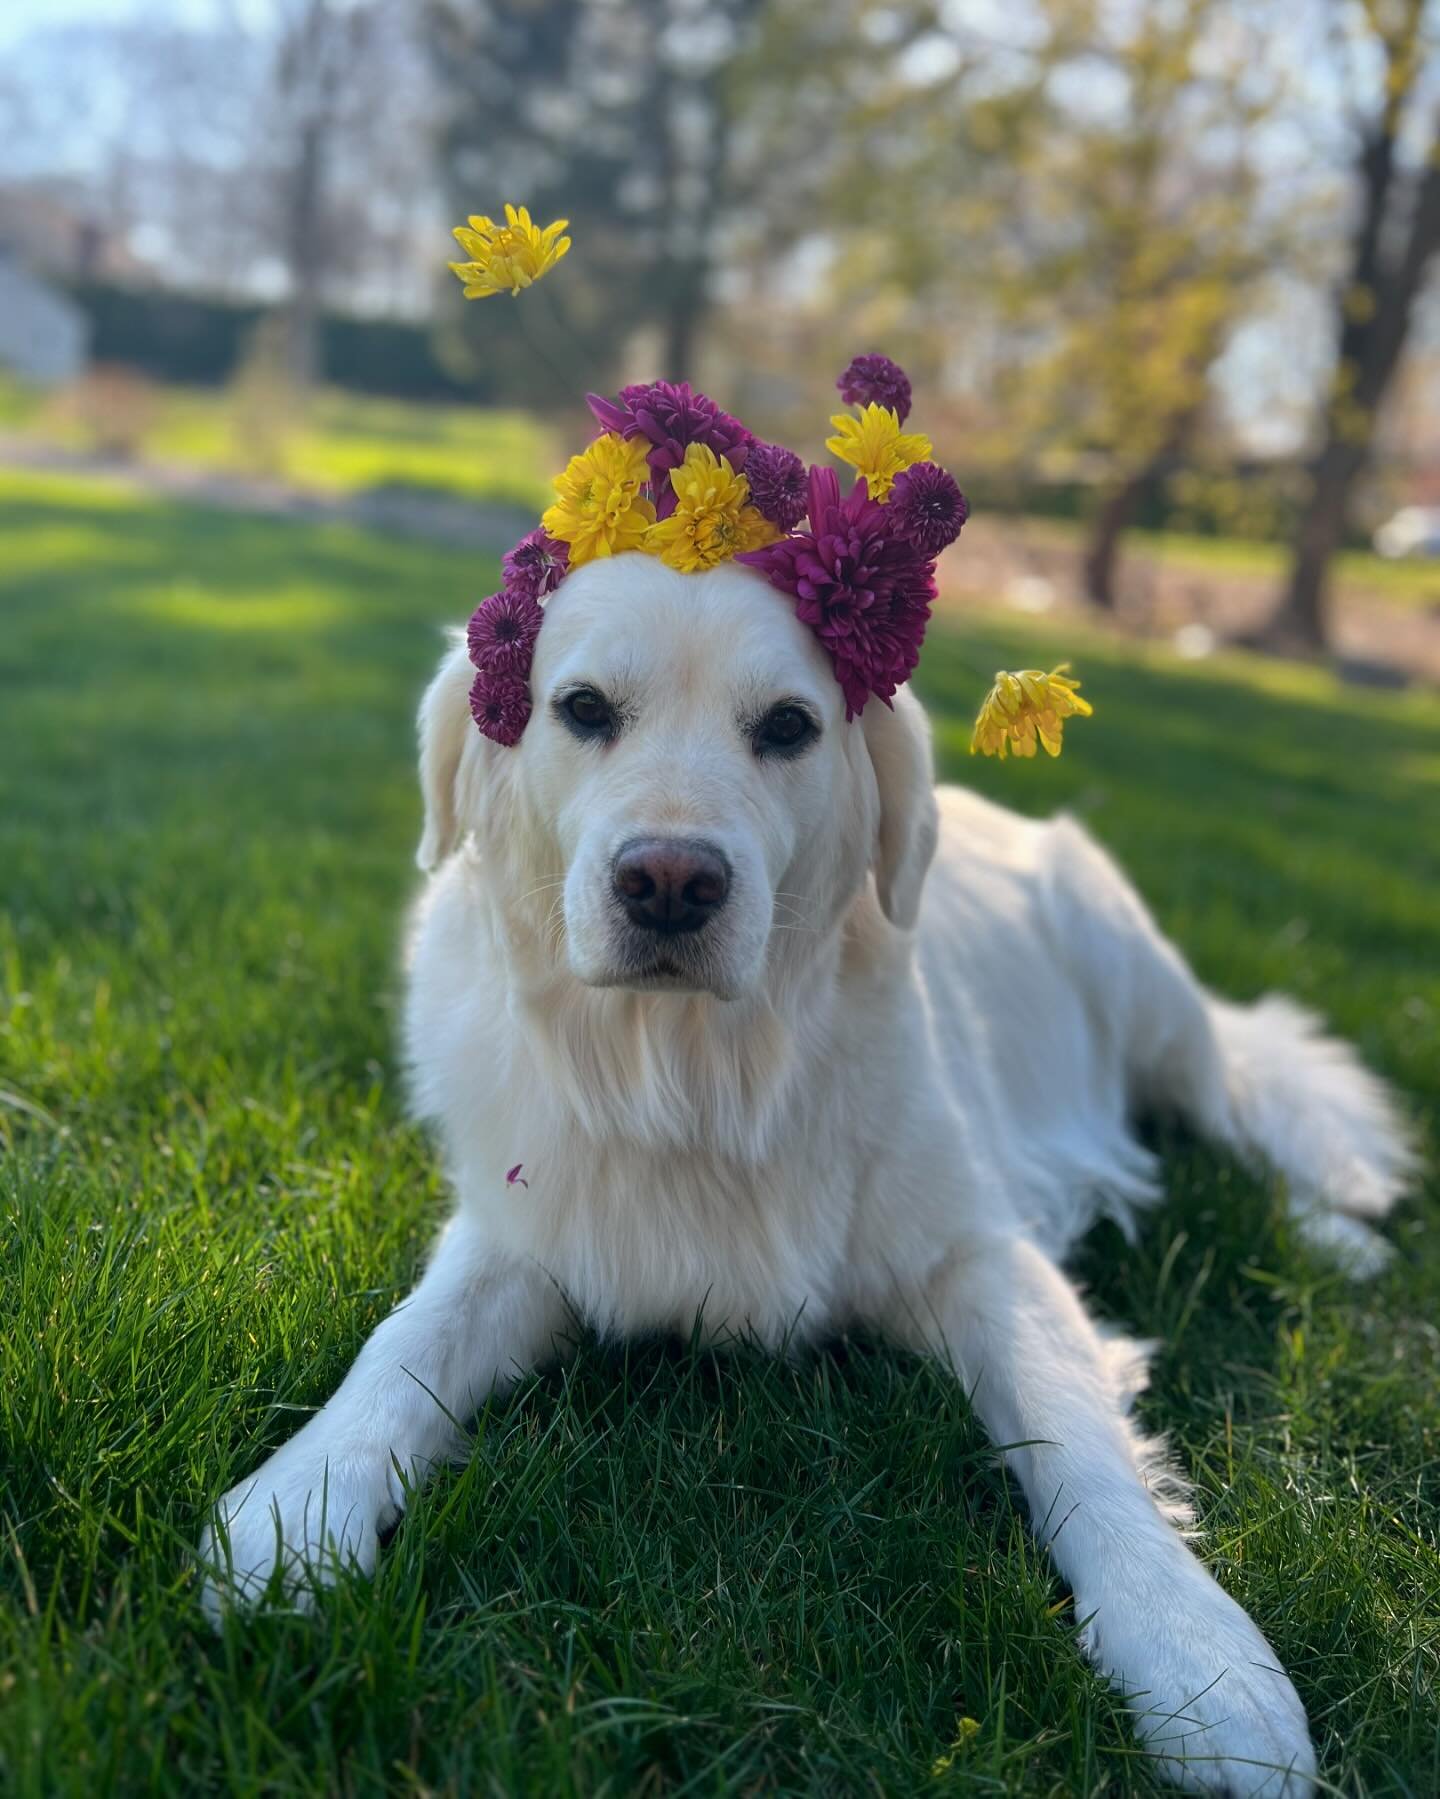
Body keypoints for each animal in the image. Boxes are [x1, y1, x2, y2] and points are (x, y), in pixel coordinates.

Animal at [197, 554, 1411, 1791]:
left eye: (787, 726)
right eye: (582, 708)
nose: (669, 881)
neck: (701, 1073)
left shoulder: (982, 1249)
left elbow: (1073, 1434)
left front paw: (1196, 1655)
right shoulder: (525, 1233)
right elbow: (405, 1345)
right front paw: (299, 1497)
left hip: (1152, 999)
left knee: (1244, 1103)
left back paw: (1334, 1236)